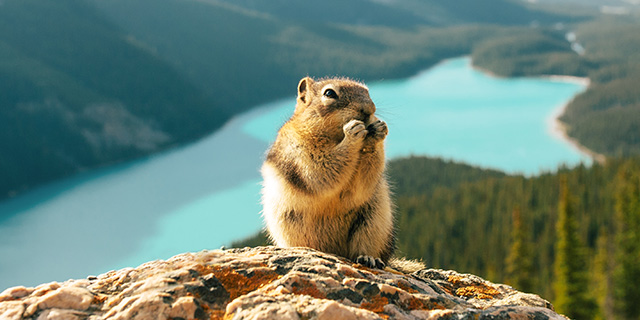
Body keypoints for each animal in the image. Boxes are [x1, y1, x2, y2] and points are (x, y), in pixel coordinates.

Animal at [262, 76, 396, 268]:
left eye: (367, 91)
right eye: (329, 93)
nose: (369, 110)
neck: (335, 137)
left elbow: (362, 185)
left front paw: (378, 129)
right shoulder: (300, 151)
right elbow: (320, 171)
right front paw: (353, 133)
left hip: (373, 223)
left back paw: (369, 258)